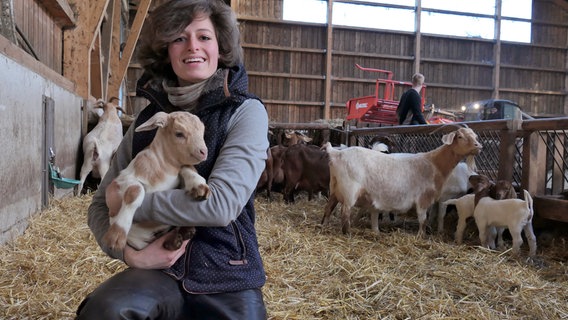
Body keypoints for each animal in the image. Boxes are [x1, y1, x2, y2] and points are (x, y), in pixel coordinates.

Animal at [102, 111, 209, 251]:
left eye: (202, 131)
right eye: (179, 133)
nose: (203, 152)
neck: (166, 168)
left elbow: (187, 167)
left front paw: (199, 186)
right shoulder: (123, 179)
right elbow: (135, 190)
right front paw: (116, 236)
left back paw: (181, 235)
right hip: (138, 242)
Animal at [322, 127, 482, 235]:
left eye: (475, 136)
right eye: (460, 136)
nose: (478, 146)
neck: (434, 163)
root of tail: (336, 153)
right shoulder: (423, 198)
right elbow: (423, 219)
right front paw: (421, 236)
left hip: (335, 188)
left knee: (329, 208)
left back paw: (324, 225)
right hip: (349, 191)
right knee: (345, 212)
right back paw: (347, 232)